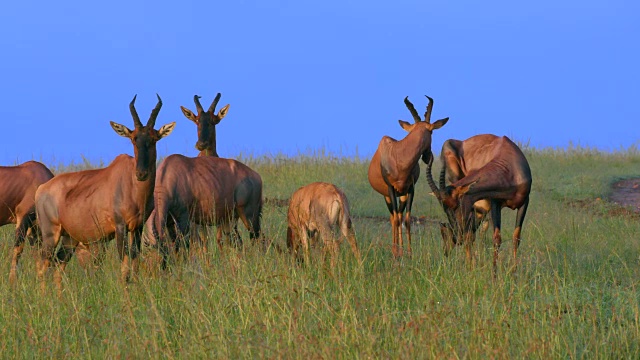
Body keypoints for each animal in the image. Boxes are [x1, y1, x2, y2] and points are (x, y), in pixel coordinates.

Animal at [35, 94, 175, 292]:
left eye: (154, 138)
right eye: (133, 138)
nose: (141, 174)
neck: (130, 184)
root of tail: (41, 189)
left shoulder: (137, 227)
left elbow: (135, 261)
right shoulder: (120, 226)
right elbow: (124, 265)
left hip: (69, 238)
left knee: (58, 265)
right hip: (50, 234)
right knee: (42, 266)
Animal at [368, 95, 448, 258]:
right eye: (432, 132)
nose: (427, 157)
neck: (398, 155)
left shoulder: (410, 189)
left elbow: (407, 219)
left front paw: (409, 253)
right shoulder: (391, 189)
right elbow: (397, 220)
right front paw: (396, 253)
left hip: (402, 195)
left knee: (399, 214)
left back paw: (401, 249)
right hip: (387, 196)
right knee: (393, 217)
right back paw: (396, 250)